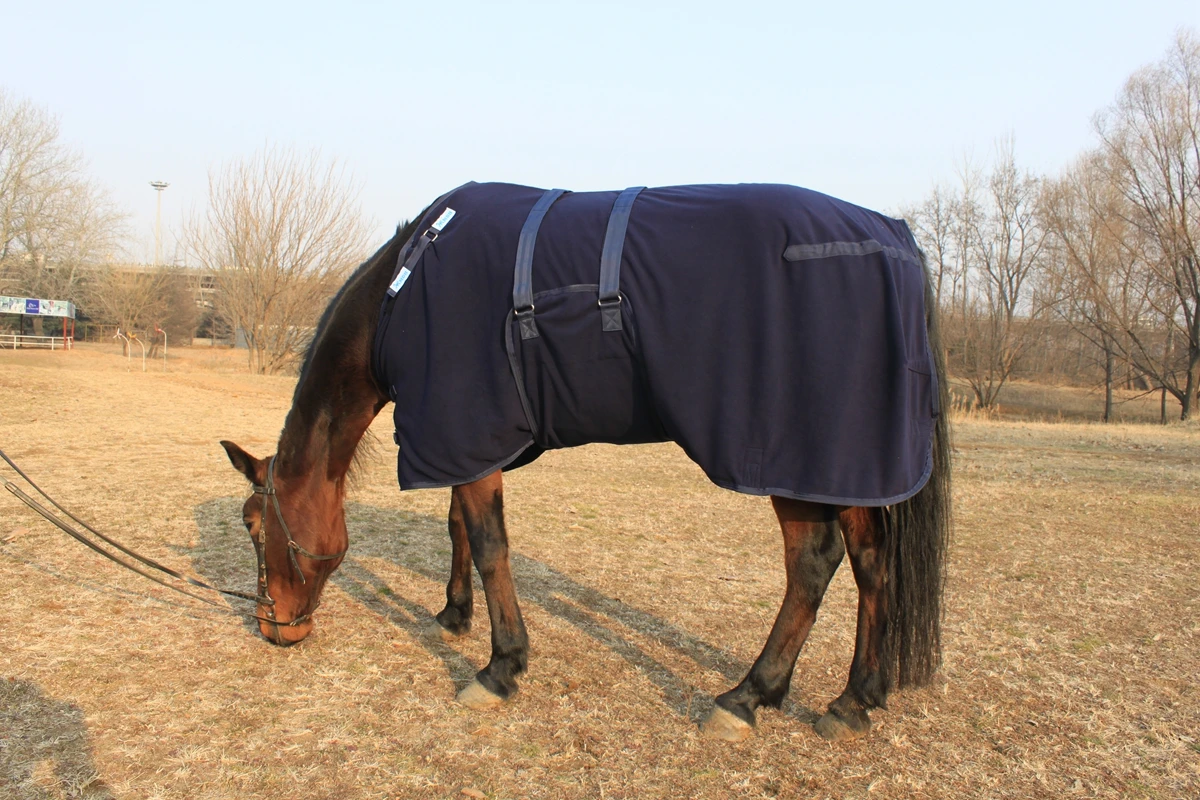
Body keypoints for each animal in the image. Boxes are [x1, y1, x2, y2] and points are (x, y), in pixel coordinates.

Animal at [219, 182, 951, 742]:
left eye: (254, 526)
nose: (272, 627)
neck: (406, 287)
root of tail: (894, 237)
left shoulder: (465, 431)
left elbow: (489, 545)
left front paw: (500, 667)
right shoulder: (467, 440)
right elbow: (459, 529)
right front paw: (455, 616)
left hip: (794, 463)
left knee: (813, 565)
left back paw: (747, 696)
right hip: (846, 463)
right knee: (872, 564)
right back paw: (854, 700)